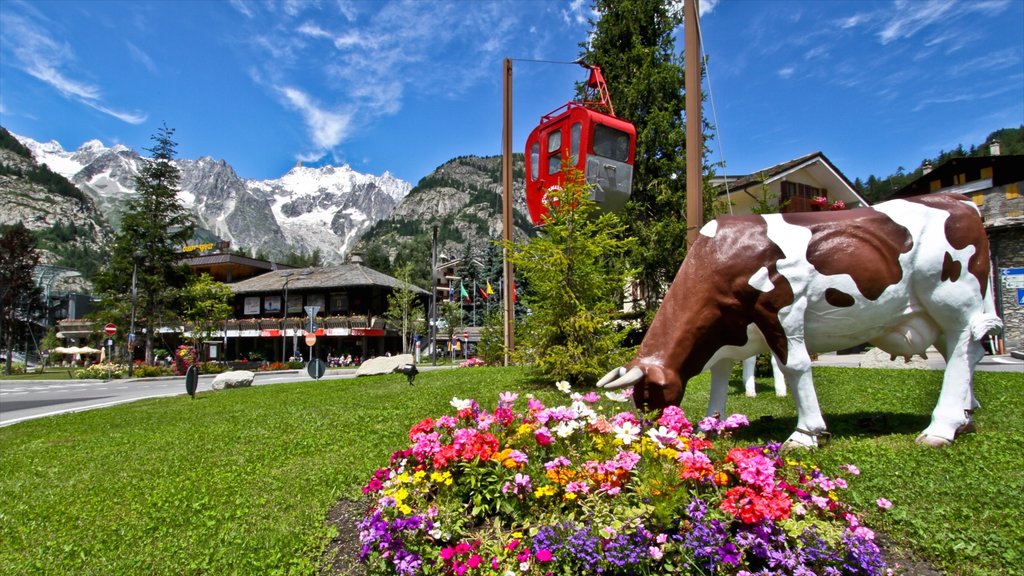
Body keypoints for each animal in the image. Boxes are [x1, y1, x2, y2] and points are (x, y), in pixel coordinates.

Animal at [598, 190, 1003, 446]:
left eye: (646, 395)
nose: (650, 432)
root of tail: (960, 200)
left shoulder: (781, 307)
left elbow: (794, 366)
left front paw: (806, 434)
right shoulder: (731, 330)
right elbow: (719, 374)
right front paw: (712, 425)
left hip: (953, 299)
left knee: (963, 350)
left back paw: (941, 428)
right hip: (937, 315)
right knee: (963, 354)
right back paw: (965, 416)